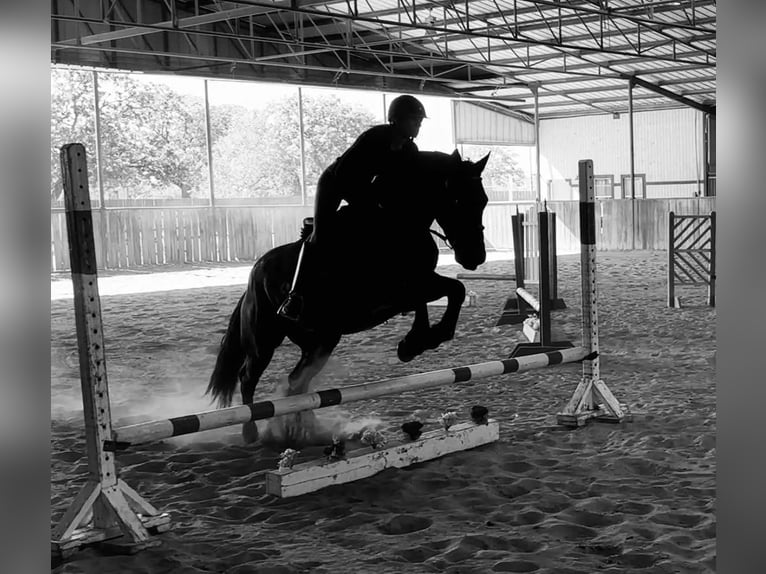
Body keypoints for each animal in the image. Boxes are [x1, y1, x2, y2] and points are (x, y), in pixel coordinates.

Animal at [207, 150, 488, 446]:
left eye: (482, 200)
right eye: (457, 199)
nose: (475, 257)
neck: (397, 223)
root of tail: (254, 275)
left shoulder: (417, 283)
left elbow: (453, 291)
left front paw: (418, 342)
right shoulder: (398, 290)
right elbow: (445, 294)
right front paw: (420, 340)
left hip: (321, 341)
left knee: (296, 383)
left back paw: (302, 429)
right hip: (264, 340)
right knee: (249, 378)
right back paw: (251, 432)